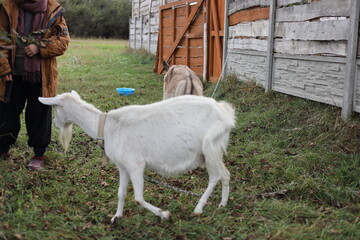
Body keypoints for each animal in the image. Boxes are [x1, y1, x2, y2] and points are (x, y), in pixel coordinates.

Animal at [38, 91, 236, 221]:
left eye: (54, 107)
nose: (55, 124)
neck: (106, 127)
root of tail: (226, 112)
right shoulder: (123, 166)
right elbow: (121, 193)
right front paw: (116, 217)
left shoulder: (135, 164)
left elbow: (138, 198)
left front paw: (165, 214)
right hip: (213, 150)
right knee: (225, 174)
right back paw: (223, 203)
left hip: (210, 146)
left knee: (215, 176)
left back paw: (198, 208)